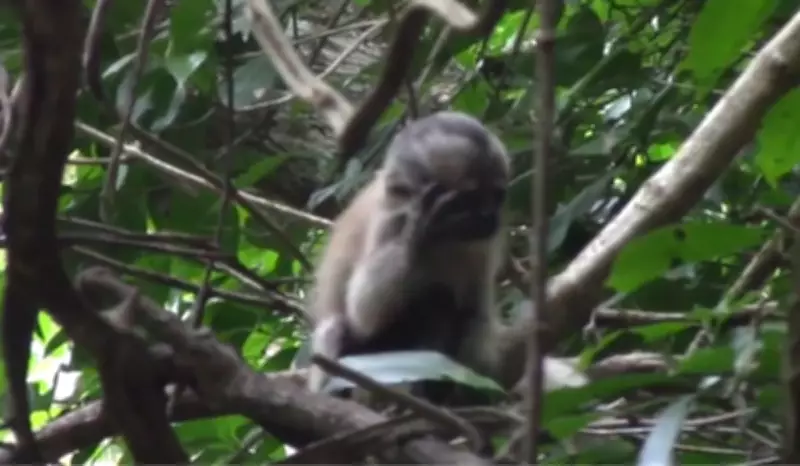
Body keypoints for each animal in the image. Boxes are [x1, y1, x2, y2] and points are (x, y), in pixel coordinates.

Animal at [305, 110, 587, 395]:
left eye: (496, 196)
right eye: (468, 200)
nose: (488, 216)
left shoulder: (487, 241)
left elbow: (474, 312)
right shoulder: (391, 220)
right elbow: (364, 315)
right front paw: (419, 234)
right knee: (341, 327)